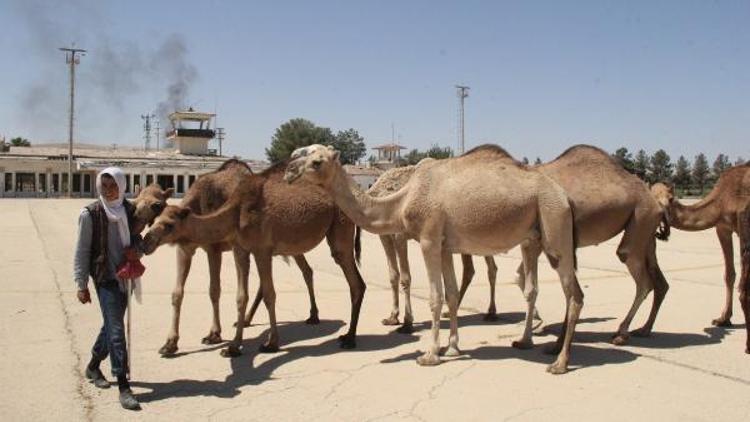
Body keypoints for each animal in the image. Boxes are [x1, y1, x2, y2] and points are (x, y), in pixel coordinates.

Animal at [142, 161, 368, 356]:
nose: (146, 241)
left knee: (354, 280)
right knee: (312, 272)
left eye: (169, 224)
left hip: (340, 228)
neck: (237, 210)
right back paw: (316, 319)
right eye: (156, 218)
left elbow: (269, 294)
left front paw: (270, 343)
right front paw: (232, 347)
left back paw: (349, 338)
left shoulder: (259, 249)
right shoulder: (240, 249)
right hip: (295, 245)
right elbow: (241, 296)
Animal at [368, 162, 502, 332]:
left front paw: (407, 322)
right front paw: (392, 317)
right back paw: (454, 311)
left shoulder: (400, 235)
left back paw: (490, 313)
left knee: (489, 268)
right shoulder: (385, 236)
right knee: (472, 269)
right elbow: (393, 275)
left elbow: (405, 278)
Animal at [462, 146, 672, 346]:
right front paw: (538, 324)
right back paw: (644, 329)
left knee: (639, 274)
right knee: (660, 282)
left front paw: (536, 328)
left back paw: (622, 333)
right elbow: (520, 277)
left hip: (641, 216)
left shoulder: (537, 238)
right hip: (647, 231)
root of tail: (657, 202)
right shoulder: (533, 241)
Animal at [652, 162, 750, 352]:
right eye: (651, 195)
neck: (721, 200)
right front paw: (723, 319)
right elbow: (729, 275)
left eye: (670, 199)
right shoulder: (723, 227)